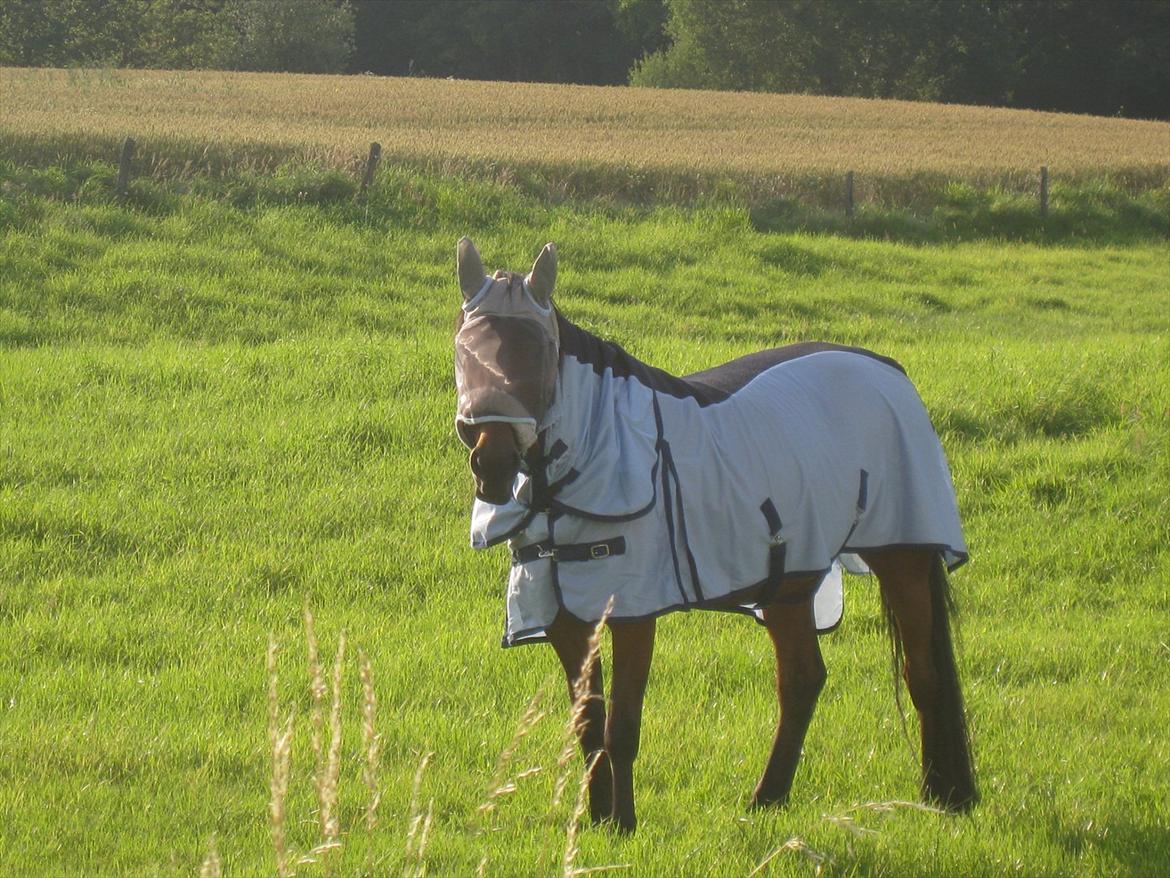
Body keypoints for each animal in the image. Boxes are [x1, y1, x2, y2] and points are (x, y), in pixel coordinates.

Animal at [449, 238, 978, 833]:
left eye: (539, 351)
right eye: (465, 349)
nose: (493, 464)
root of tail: (889, 371)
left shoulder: (633, 612)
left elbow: (622, 725)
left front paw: (622, 826)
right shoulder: (564, 618)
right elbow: (587, 723)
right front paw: (596, 819)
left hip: (902, 558)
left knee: (923, 673)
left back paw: (944, 796)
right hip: (790, 585)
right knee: (802, 679)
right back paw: (767, 799)